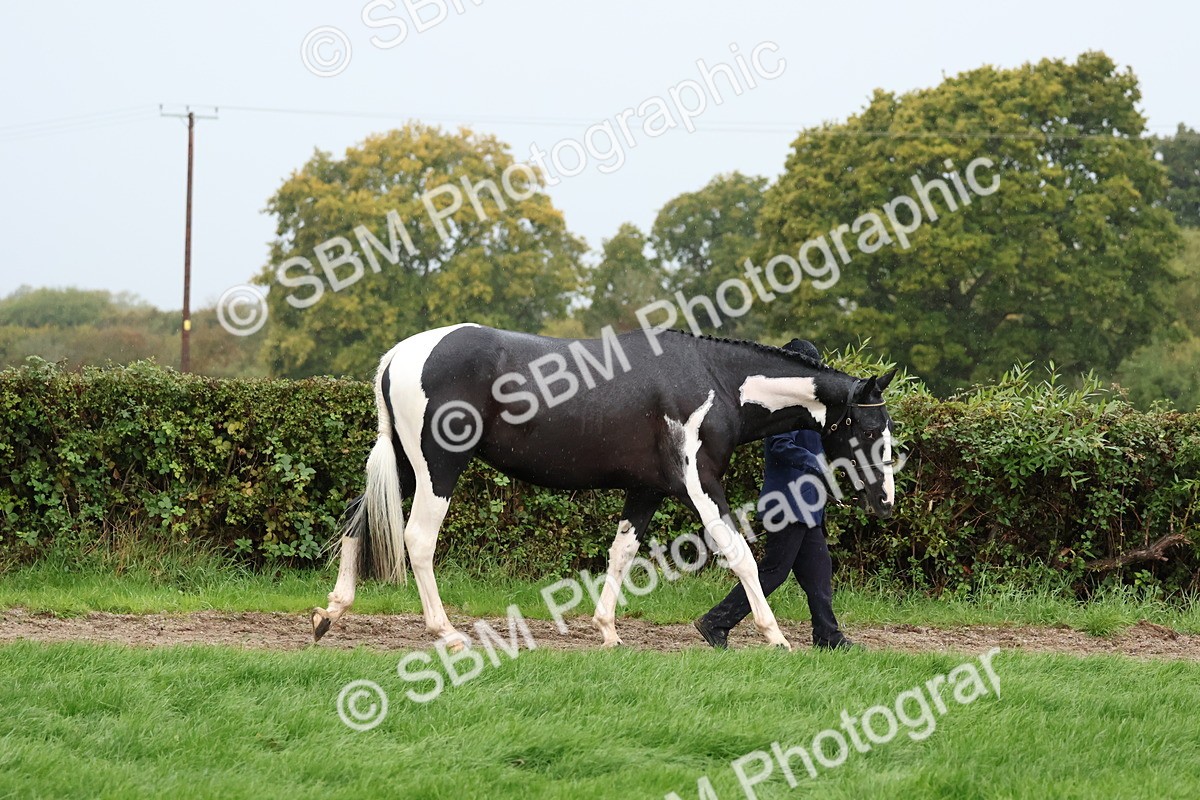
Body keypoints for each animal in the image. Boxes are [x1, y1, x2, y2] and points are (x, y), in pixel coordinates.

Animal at [311, 323, 898, 651]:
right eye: (870, 428)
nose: (886, 503)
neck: (715, 380)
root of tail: (400, 355)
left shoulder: (648, 490)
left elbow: (622, 552)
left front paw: (608, 630)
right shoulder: (700, 484)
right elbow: (741, 555)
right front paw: (775, 637)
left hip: (405, 464)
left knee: (358, 520)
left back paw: (329, 614)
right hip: (438, 466)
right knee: (418, 540)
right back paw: (446, 633)